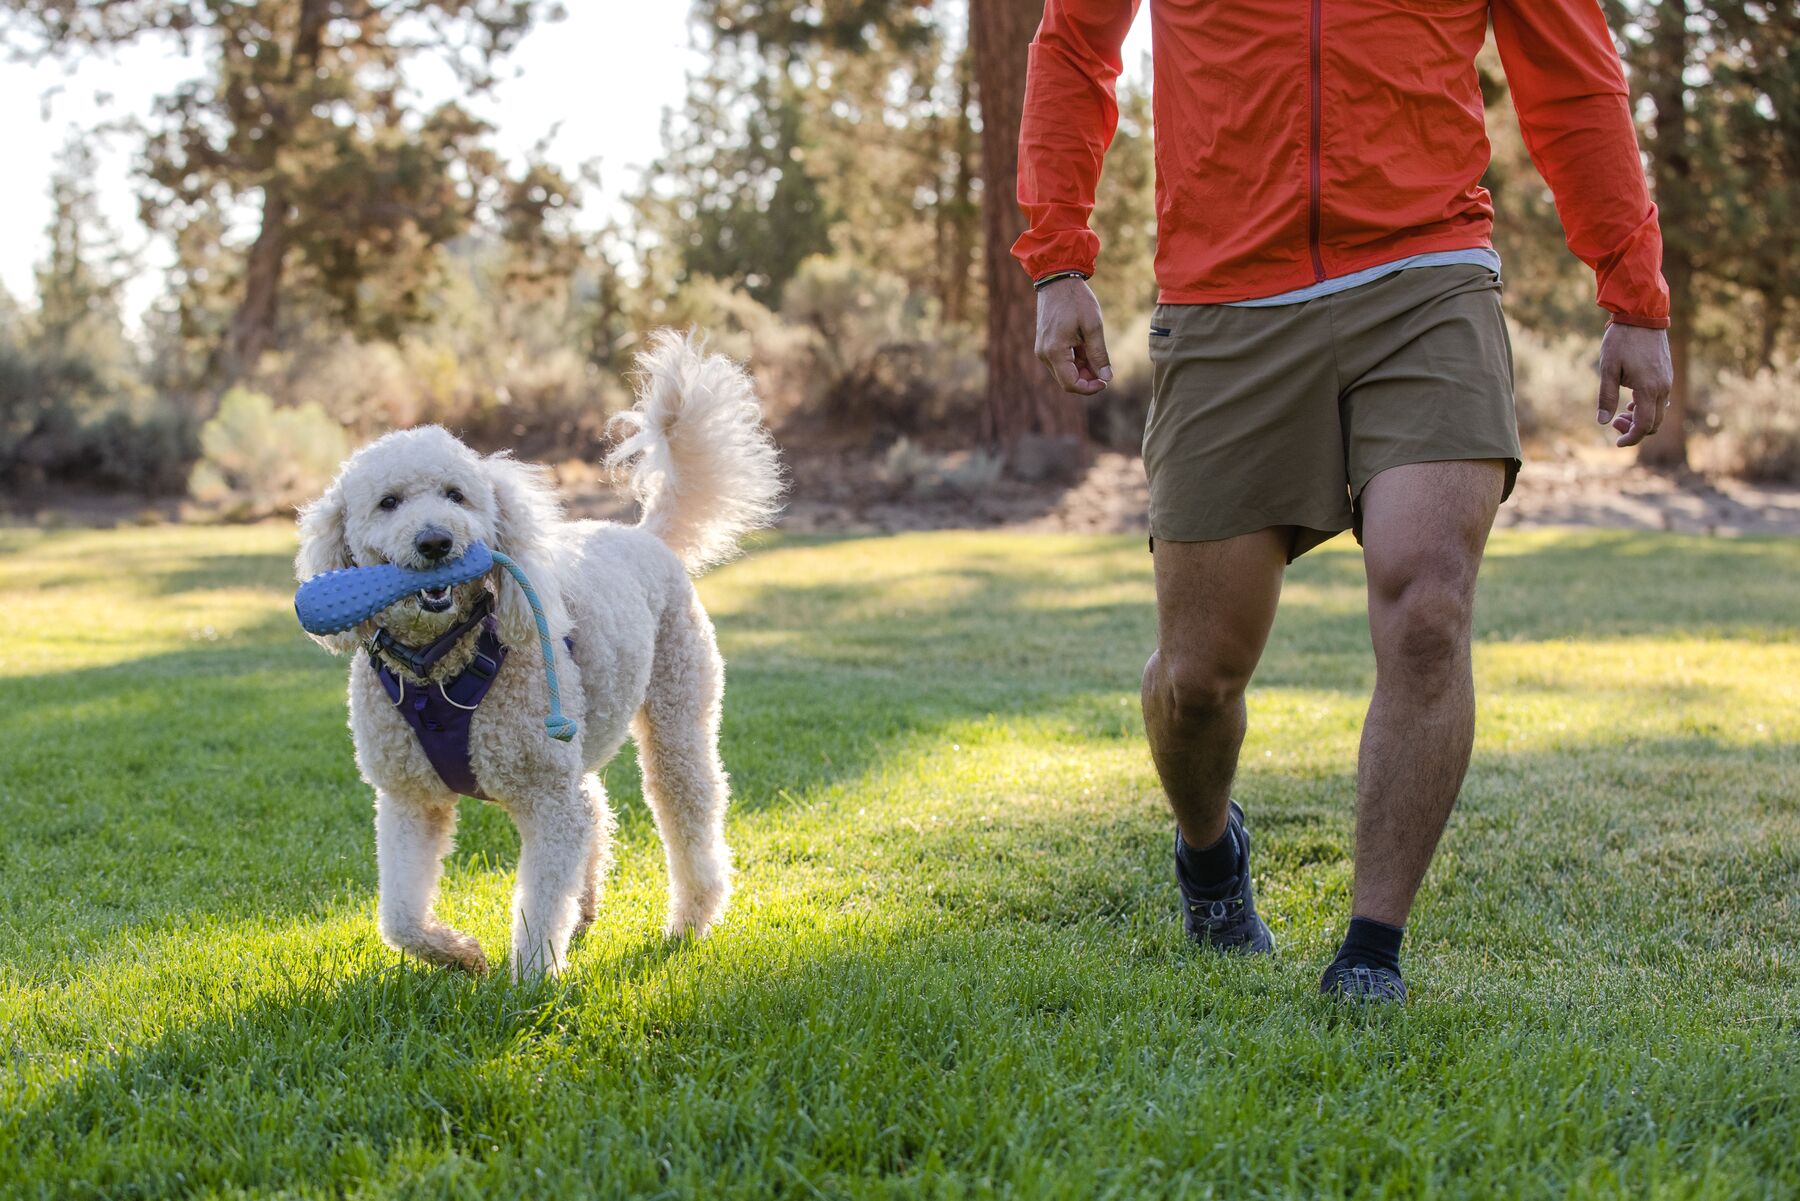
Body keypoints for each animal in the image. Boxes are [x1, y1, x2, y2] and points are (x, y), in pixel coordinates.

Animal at [295, 329, 781, 979]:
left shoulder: (548, 799)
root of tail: (644, 535)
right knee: (596, 808)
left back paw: (689, 922)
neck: (440, 667)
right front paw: (458, 954)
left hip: (677, 716)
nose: (436, 541)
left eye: (457, 495)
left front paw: (529, 984)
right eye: (389, 502)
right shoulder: (408, 800)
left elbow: (541, 902)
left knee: (688, 815)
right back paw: (588, 908)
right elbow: (399, 918)